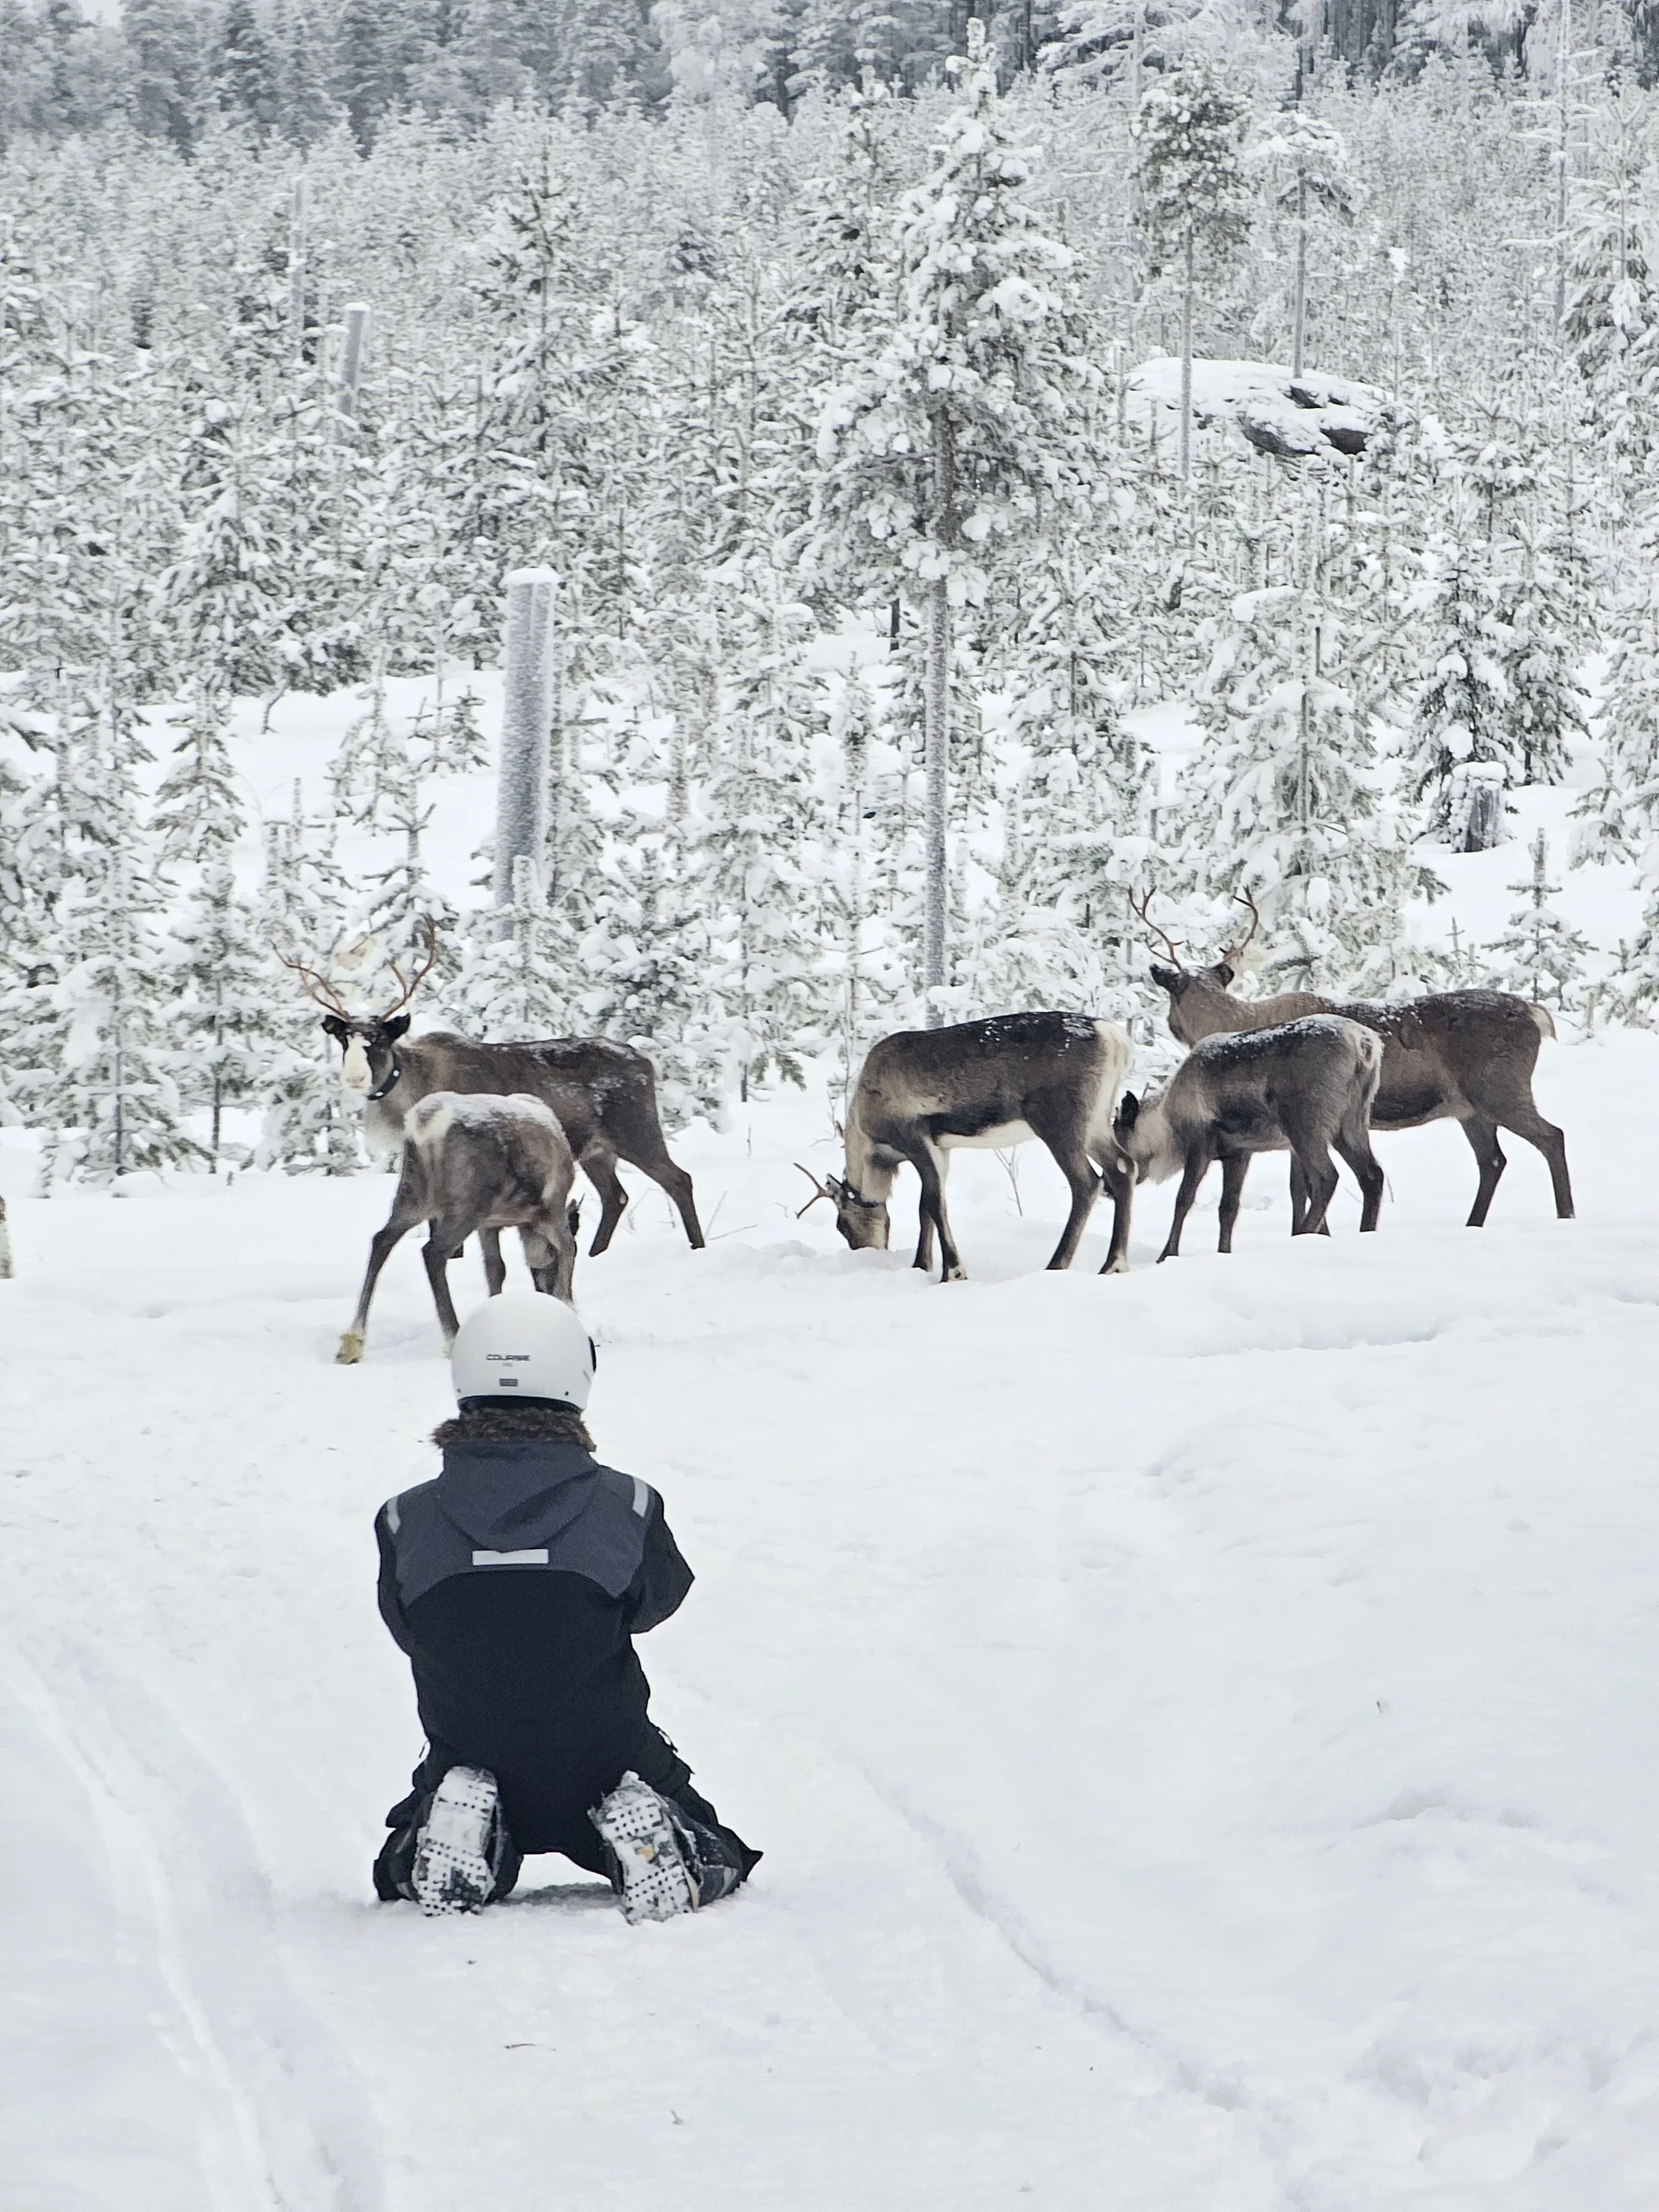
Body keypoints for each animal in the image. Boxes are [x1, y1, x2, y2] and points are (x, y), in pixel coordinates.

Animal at [282, 920, 705, 1261]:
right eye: (344, 1041)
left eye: (380, 1040)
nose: (354, 1078)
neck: (409, 1094)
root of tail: (648, 1062)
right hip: (597, 1150)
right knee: (616, 1197)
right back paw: (595, 1254)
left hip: (636, 1131)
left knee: (679, 1179)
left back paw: (697, 1247)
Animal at [338, 1091, 579, 1363]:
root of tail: (425, 1123)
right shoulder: (550, 1211)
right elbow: (569, 1248)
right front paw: (569, 1307)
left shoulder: (490, 1225)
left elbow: (495, 1269)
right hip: (464, 1208)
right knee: (432, 1253)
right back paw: (453, 1338)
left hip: (412, 1195)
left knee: (382, 1240)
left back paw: (353, 1343)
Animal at [797, 1011, 1136, 1281]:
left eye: (842, 1225)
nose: (866, 1252)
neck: (874, 1150)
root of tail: (1116, 1039)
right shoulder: (941, 1147)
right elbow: (926, 1205)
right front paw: (921, 1264)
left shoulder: (914, 1136)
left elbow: (934, 1202)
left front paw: (953, 1271)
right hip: (1097, 1122)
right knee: (1123, 1168)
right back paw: (1114, 1265)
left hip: (1060, 1122)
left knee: (1087, 1183)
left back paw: (1057, 1265)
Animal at [1115, 1015, 1386, 1260]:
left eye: (1118, 1134)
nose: (1109, 1188)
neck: (1166, 1119)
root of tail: (1364, 1044)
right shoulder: (1238, 1153)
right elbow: (1229, 1207)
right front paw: (1223, 1252)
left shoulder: (1200, 1146)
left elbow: (1184, 1200)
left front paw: (1167, 1254)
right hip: (1350, 1123)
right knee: (1372, 1175)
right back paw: (1365, 1232)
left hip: (1305, 1125)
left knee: (1326, 1177)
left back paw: (1305, 1234)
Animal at [1131, 890, 1574, 1229]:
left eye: (1170, 1003)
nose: (1169, 1024)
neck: (1236, 1022)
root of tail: (1537, 1015)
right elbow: (1300, 1188)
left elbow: (1303, 1187)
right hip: (1469, 1110)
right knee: (1494, 1161)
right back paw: (1473, 1224)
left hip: (1500, 1090)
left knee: (1552, 1136)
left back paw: (1565, 1214)